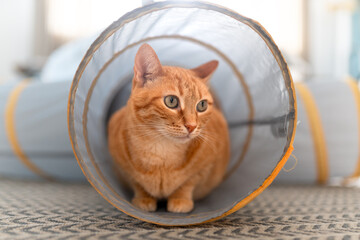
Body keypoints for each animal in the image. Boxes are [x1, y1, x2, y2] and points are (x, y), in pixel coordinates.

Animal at [108, 43, 229, 214]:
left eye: (202, 105)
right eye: (171, 101)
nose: (192, 126)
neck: (162, 151)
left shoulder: (205, 167)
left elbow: (187, 183)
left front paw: (180, 200)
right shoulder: (122, 167)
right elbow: (137, 183)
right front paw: (143, 199)